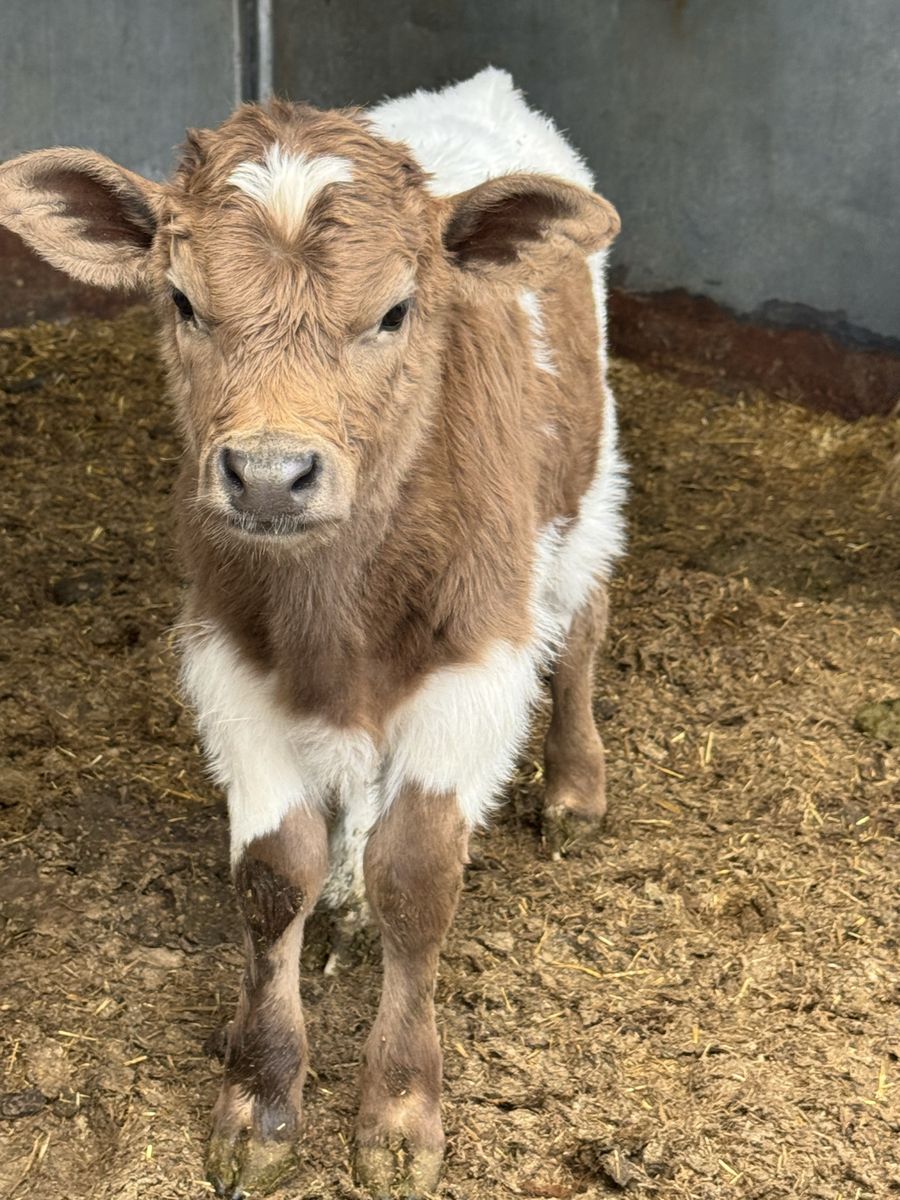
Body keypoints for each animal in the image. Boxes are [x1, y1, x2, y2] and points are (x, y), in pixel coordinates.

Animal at [0, 68, 625, 1198]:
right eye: (182, 300)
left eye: (395, 311)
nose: (268, 475)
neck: (338, 605)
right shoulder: (229, 663)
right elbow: (271, 875)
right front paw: (262, 1097)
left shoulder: (476, 665)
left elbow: (418, 876)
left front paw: (401, 1111)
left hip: (587, 488)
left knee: (586, 617)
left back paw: (574, 787)